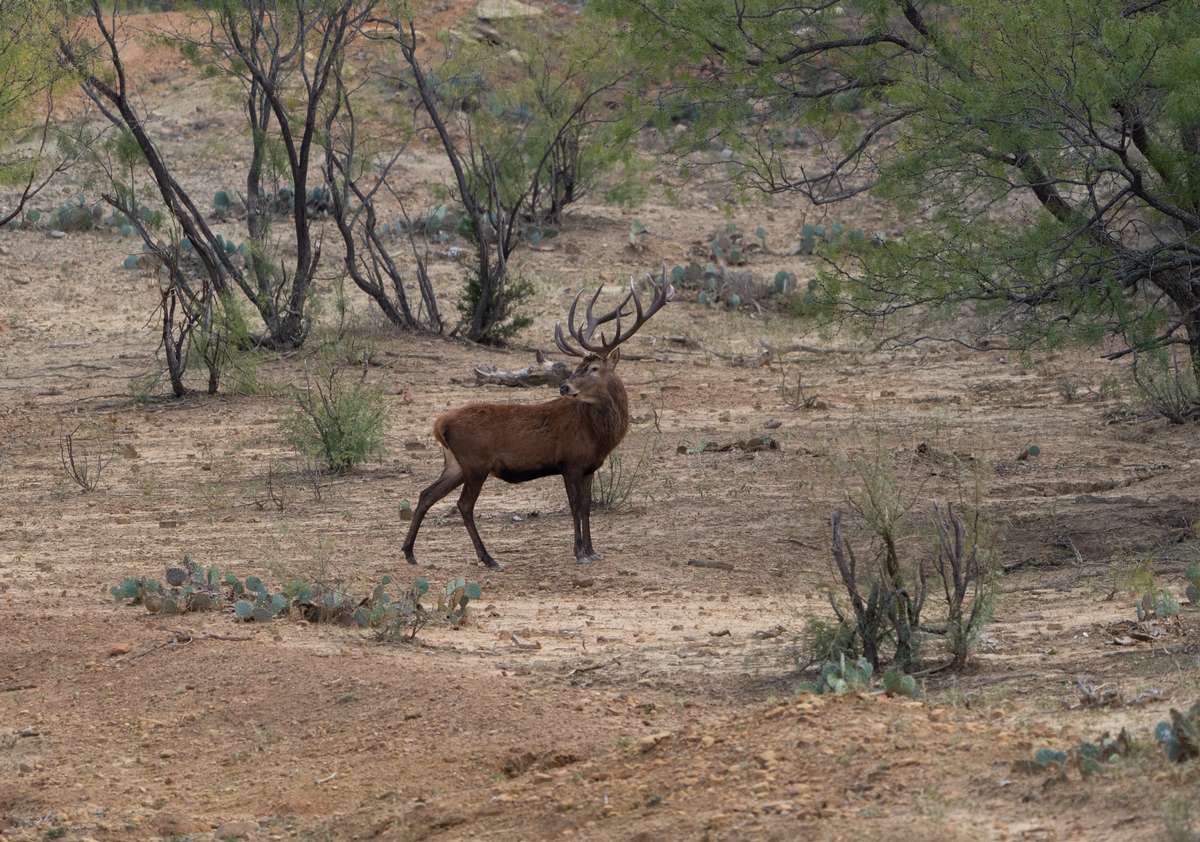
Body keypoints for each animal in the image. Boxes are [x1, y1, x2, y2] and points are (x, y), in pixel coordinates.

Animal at [405, 280, 676, 570]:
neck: (598, 436)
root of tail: (439, 424)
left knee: (426, 494)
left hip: (455, 464)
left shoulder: (589, 467)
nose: (564, 386)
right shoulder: (570, 463)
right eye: (579, 365)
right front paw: (579, 552)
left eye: (592, 368)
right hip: (476, 463)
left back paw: (409, 552)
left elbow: (587, 506)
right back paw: (489, 558)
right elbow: (575, 506)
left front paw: (592, 550)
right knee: (464, 504)